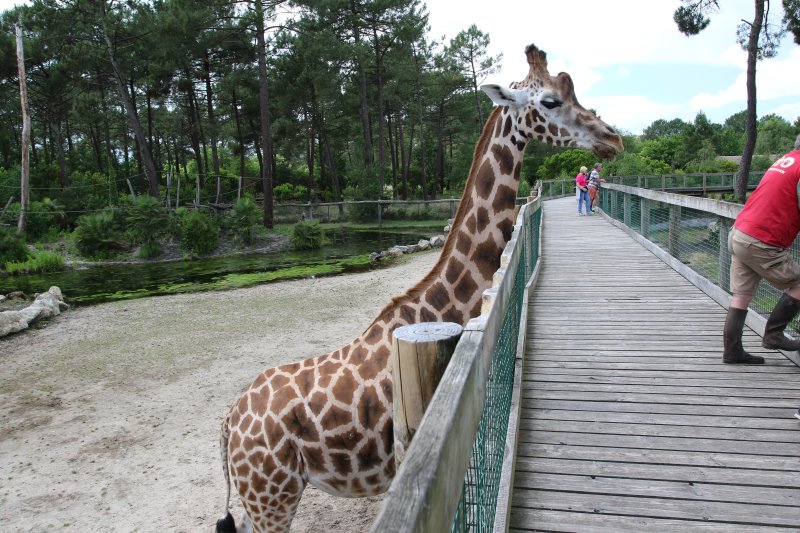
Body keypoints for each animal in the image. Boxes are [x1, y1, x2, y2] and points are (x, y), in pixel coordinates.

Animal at [214, 42, 624, 532]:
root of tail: (228, 424)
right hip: (271, 496)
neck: (438, 307)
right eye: (549, 100)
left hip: (264, 496)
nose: (613, 139)